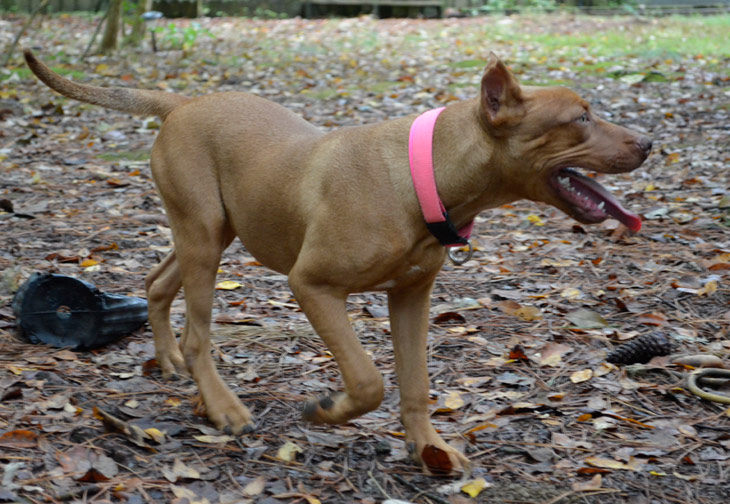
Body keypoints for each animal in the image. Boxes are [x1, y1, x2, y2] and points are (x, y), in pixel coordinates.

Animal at [24, 49, 648, 474]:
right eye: (581, 117)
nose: (648, 143)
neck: (423, 176)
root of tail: (184, 104)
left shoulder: (411, 296)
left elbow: (415, 384)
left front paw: (431, 449)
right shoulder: (313, 285)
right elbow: (369, 379)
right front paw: (325, 411)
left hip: (210, 232)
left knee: (157, 285)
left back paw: (173, 364)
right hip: (202, 237)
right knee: (200, 333)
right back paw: (223, 407)